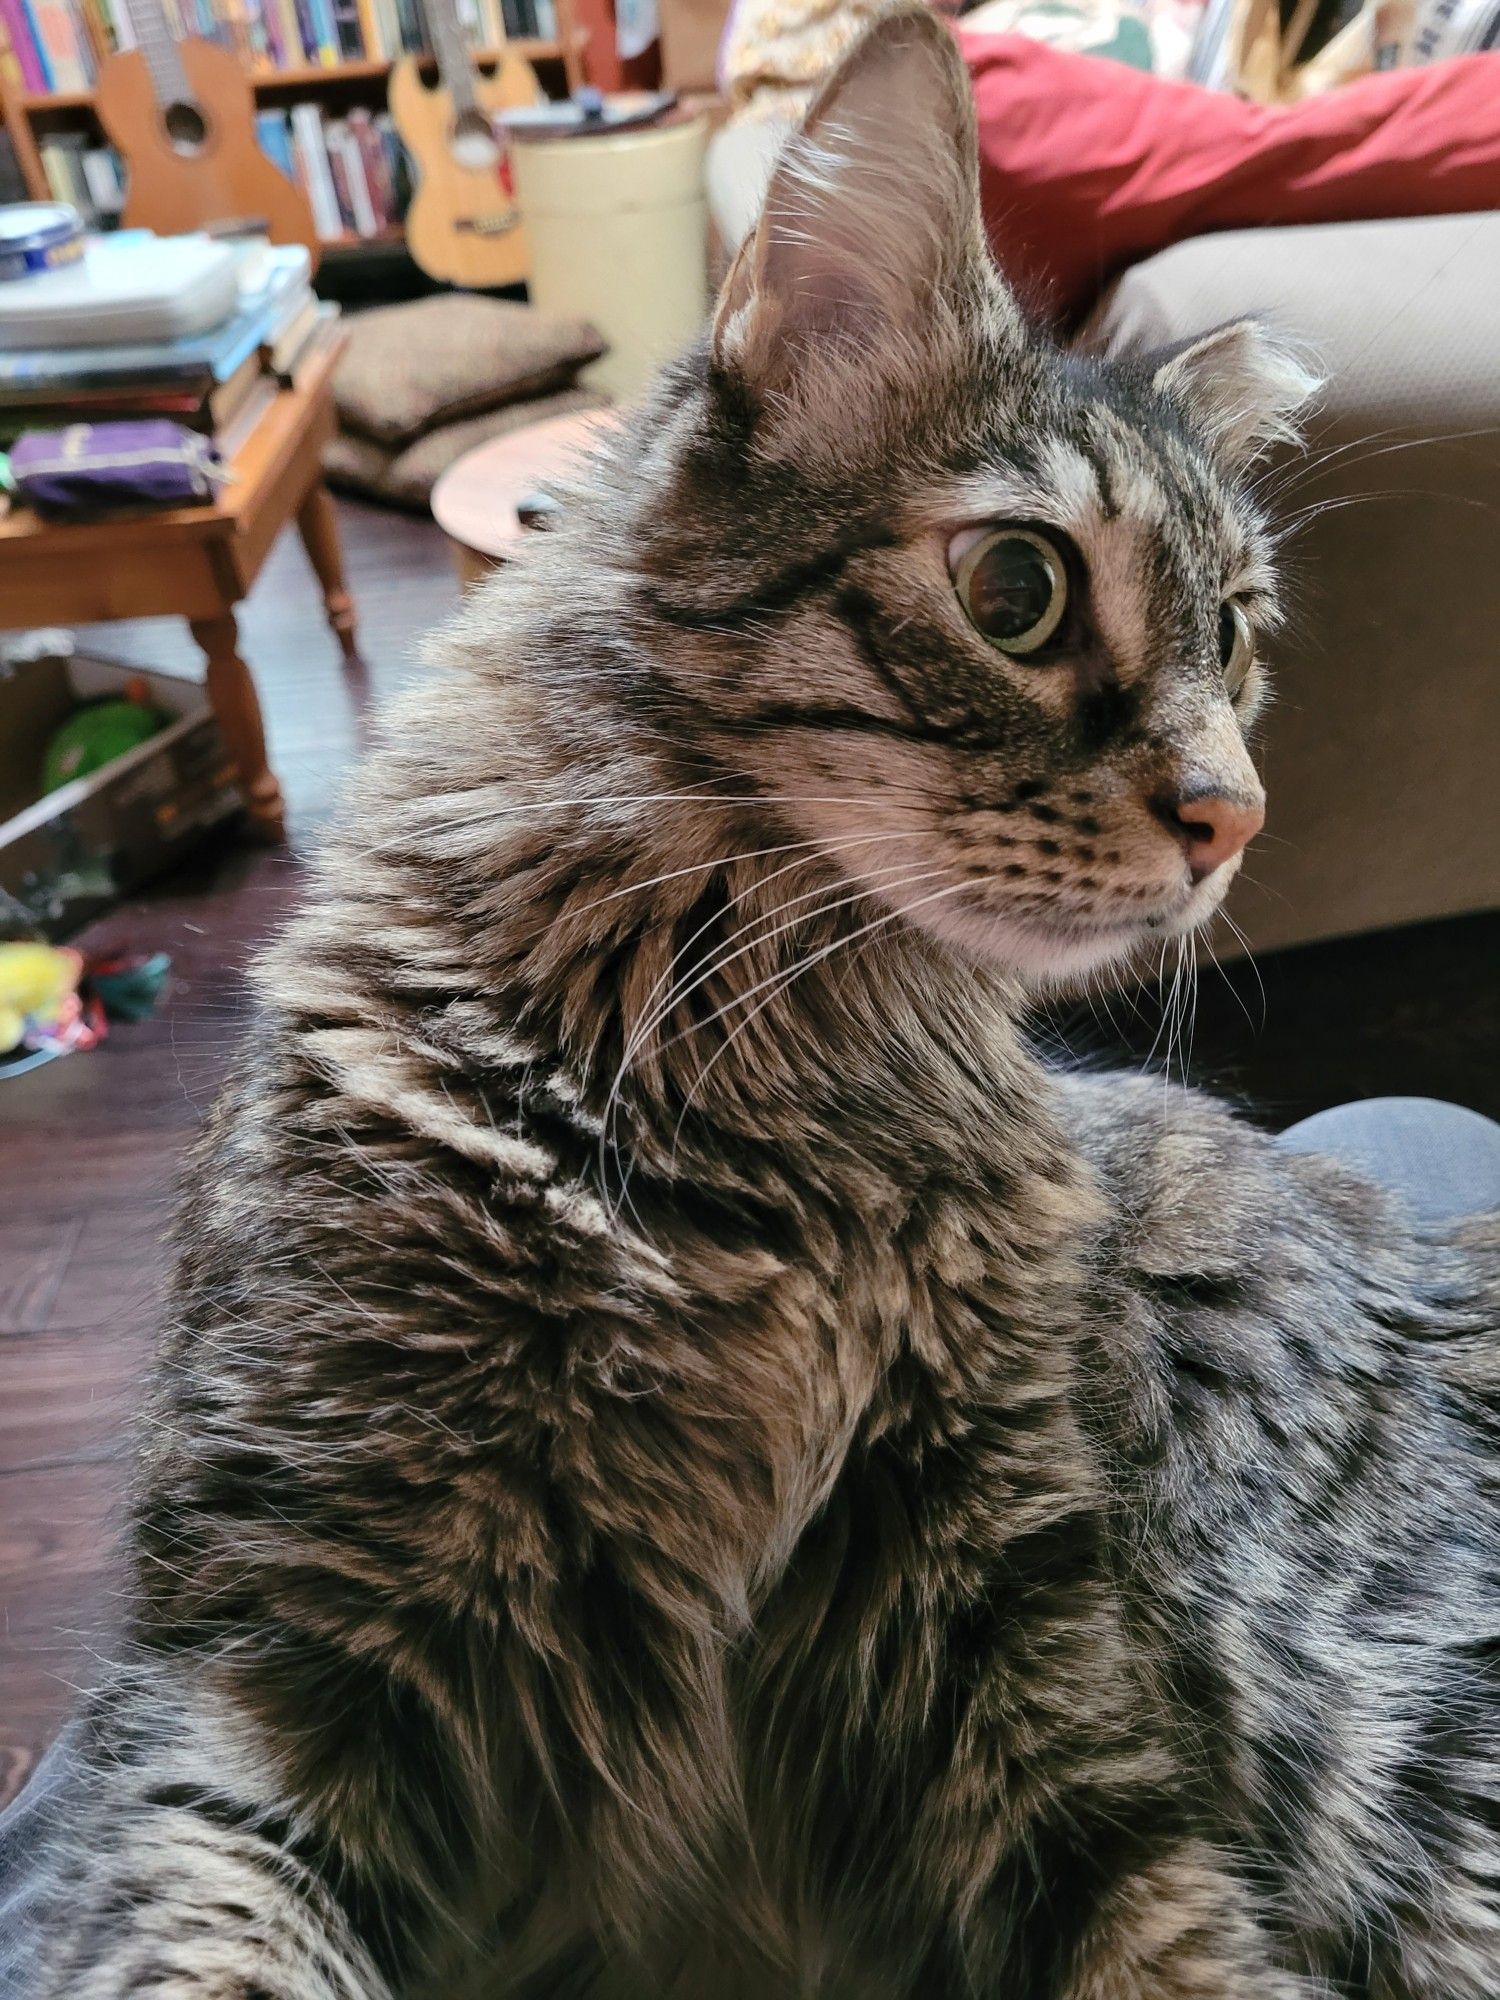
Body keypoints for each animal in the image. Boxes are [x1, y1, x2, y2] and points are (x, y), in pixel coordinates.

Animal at [14, 7, 1500, 1992]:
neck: (758, 1105)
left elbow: (1179, 1940)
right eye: (1018, 590)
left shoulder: (1040, 1671)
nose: (1235, 816)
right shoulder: (267, 1652)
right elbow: (209, 1941)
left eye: (1239, 637)